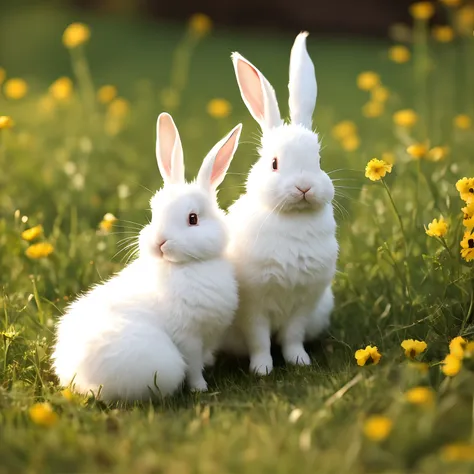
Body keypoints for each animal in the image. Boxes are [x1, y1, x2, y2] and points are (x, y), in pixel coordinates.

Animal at [53, 114, 243, 400]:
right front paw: (200, 388)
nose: (159, 242)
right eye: (154, 212)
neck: (184, 266)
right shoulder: (188, 337)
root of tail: (76, 378)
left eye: (193, 218)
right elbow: (194, 366)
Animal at [221, 32, 336, 374]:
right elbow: (259, 341)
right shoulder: (254, 306)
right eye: (274, 164)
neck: (292, 218)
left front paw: (300, 362)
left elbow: (292, 337)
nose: (304, 187)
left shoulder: (304, 303)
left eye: (318, 161)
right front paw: (262, 370)